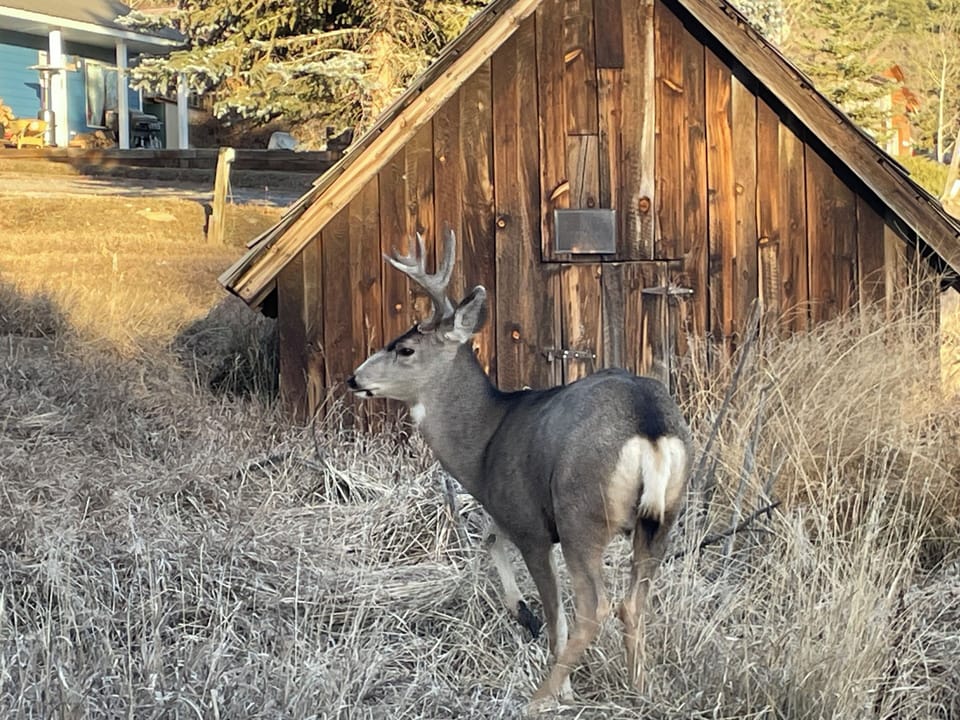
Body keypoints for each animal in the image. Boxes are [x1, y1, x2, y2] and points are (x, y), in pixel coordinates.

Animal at [346, 227, 692, 712]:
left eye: (405, 348)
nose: (354, 378)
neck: (485, 444)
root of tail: (649, 422)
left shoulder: (529, 521)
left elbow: (554, 610)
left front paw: (560, 683)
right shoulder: (514, 515)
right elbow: (491, 541)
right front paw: (521, 612)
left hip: (580, 512)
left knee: (595, 608)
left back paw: (539, 696)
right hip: (663, 517)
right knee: (633, 604)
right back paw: (639, 688)